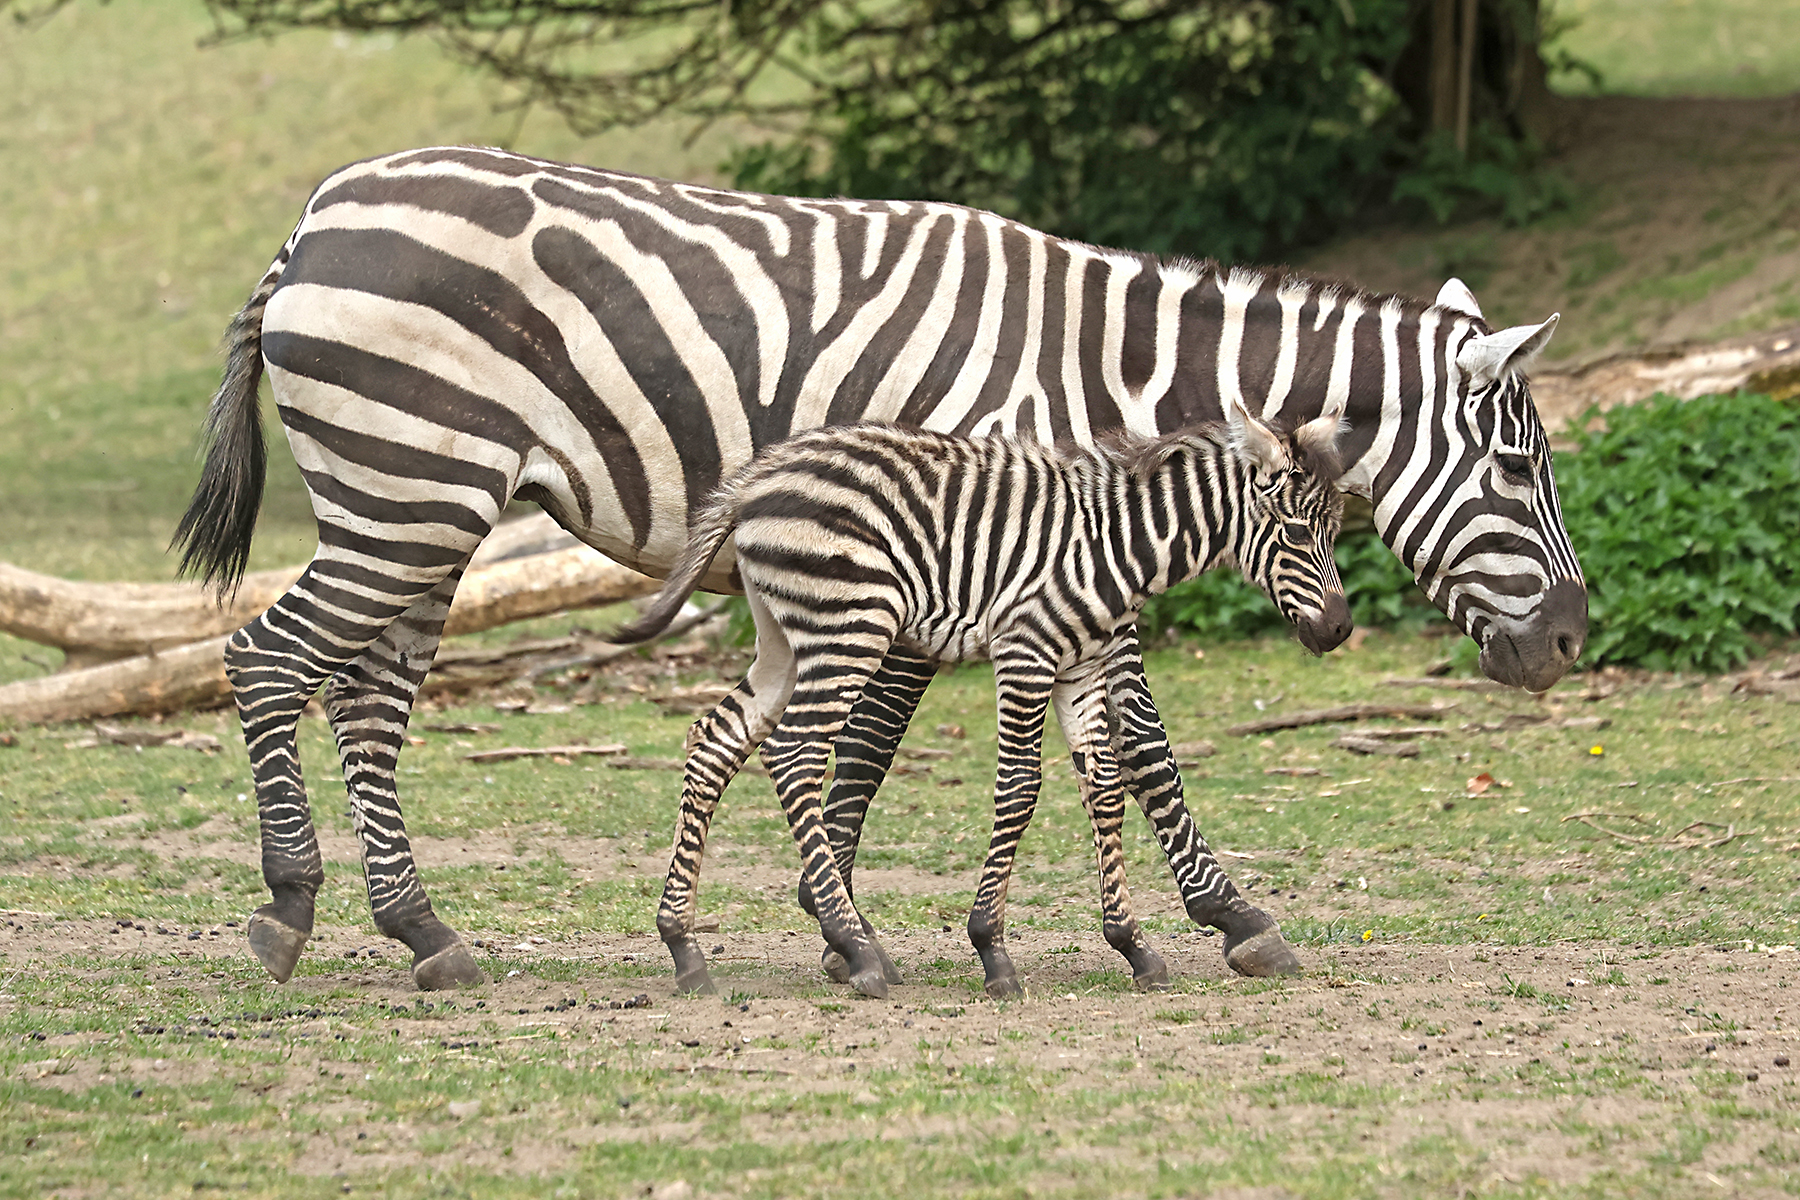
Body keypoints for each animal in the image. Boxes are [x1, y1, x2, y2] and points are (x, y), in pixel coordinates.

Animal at [607, 403, 1349, 998]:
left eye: (1334, 528)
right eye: (1293, 531)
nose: (1340, 630)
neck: (1120, 542)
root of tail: (755, 477)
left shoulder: (1080, 665)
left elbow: (1105, 788)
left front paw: (1133, 947)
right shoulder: (1027, 649)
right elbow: (1021, 788)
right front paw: (992, 949)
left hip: (781, 638)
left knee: (715, 739)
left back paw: (684, 948)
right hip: (849, 624)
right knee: (794, 754)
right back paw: (856, 949)